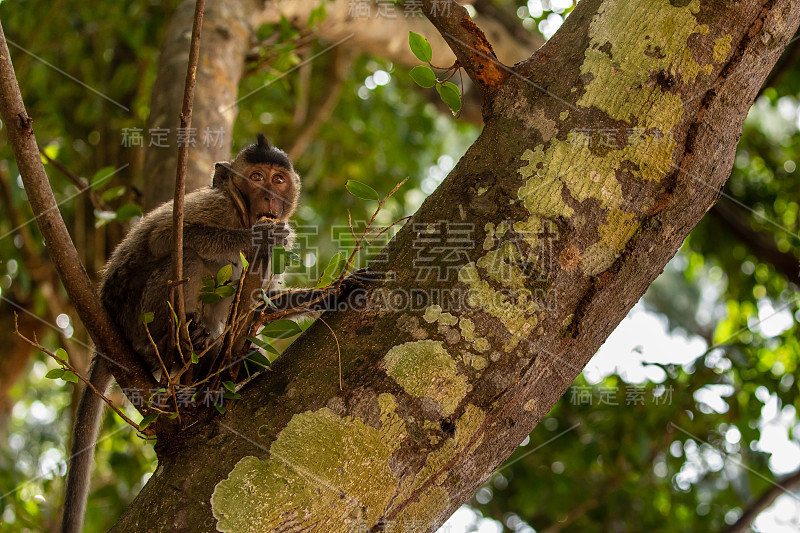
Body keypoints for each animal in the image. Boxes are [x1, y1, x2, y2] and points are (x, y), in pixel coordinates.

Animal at [60, 133, 304, 532]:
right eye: (256, 177)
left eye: (278, 180)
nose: (270, 195)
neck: (240, 211)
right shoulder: (216, 206)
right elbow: (164, 237)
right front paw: (258, 237)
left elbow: (265, 303)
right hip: (137, 318)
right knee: (186, 255)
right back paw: (181, 342)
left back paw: (220, 361)